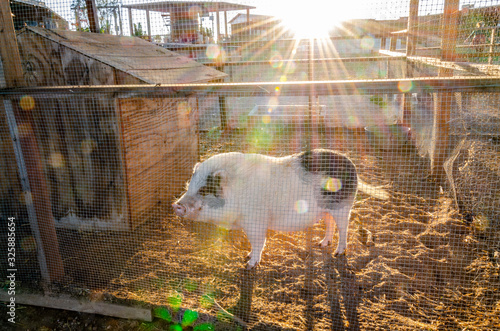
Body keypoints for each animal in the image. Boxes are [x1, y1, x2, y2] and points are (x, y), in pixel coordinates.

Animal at [172, 150, 386, 270]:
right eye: (190, 186)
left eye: (204, 190)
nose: (176, 205)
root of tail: (352, 165)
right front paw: (247, 256)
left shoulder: (256, 221)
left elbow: (259, 242)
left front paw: (249, 264)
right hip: (326, 209)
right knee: (329, 224)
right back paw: (321, 244)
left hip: (343, 206)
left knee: (344, 229)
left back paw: (338, 253)